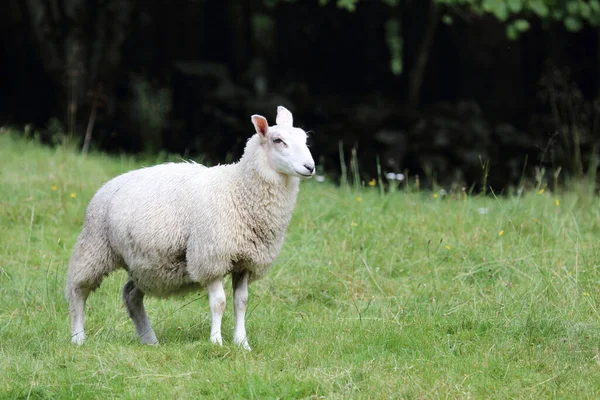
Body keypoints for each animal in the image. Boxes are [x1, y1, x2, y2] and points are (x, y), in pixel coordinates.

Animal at [66, 107, 316, 350]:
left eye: (305, 140)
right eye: (278, 140)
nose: (310, 167)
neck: (238, 189)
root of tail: (109, 184)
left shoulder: (246, 261)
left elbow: (241, 302)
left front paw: (242, 343)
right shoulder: (211, 257)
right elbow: (219, 303)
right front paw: (216, 342)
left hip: (147, 266)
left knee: (131, 295)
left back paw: (150, 340)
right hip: (94, 247)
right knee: (78, 290)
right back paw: (78, 338)